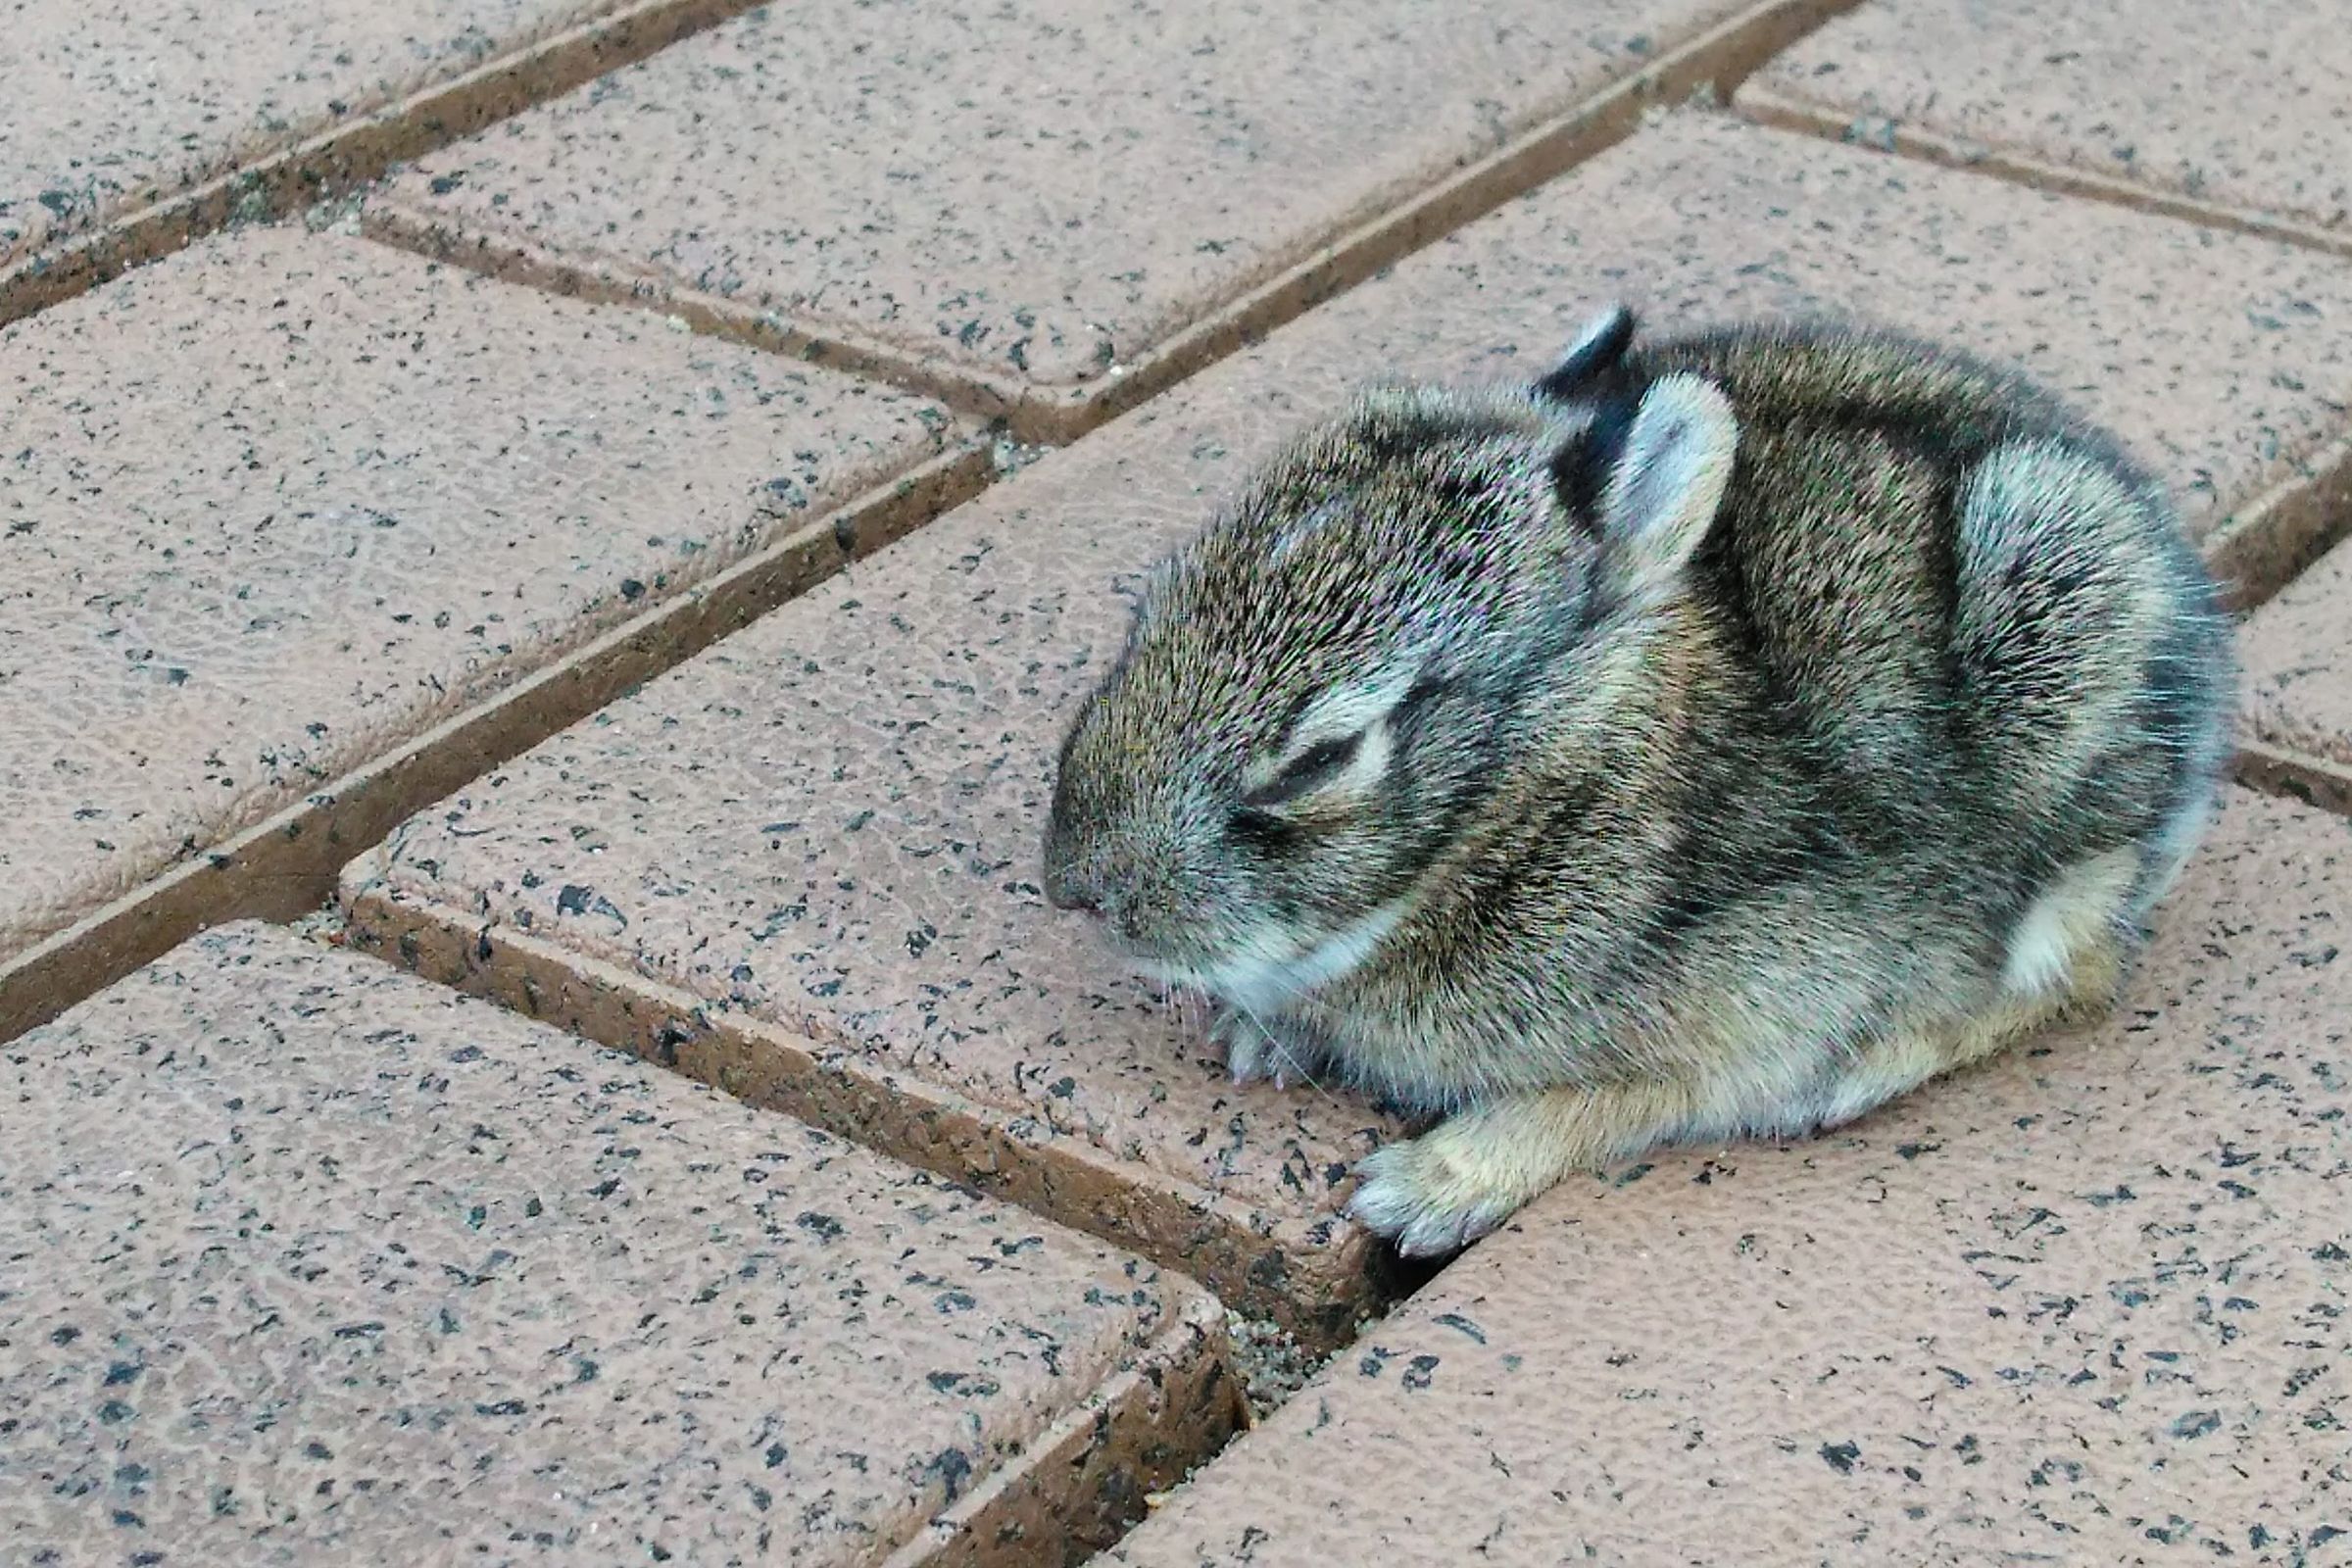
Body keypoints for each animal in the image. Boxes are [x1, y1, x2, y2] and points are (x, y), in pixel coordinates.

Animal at [1040, 304, 2237, 1258]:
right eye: (1151, 607)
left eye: (1322, 756)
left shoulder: (1749, 1008)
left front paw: (1421, 1191)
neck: (1543, 788)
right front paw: (1260, 1039)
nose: (1072, 889)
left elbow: (1601, 1105)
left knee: (2075, 970)